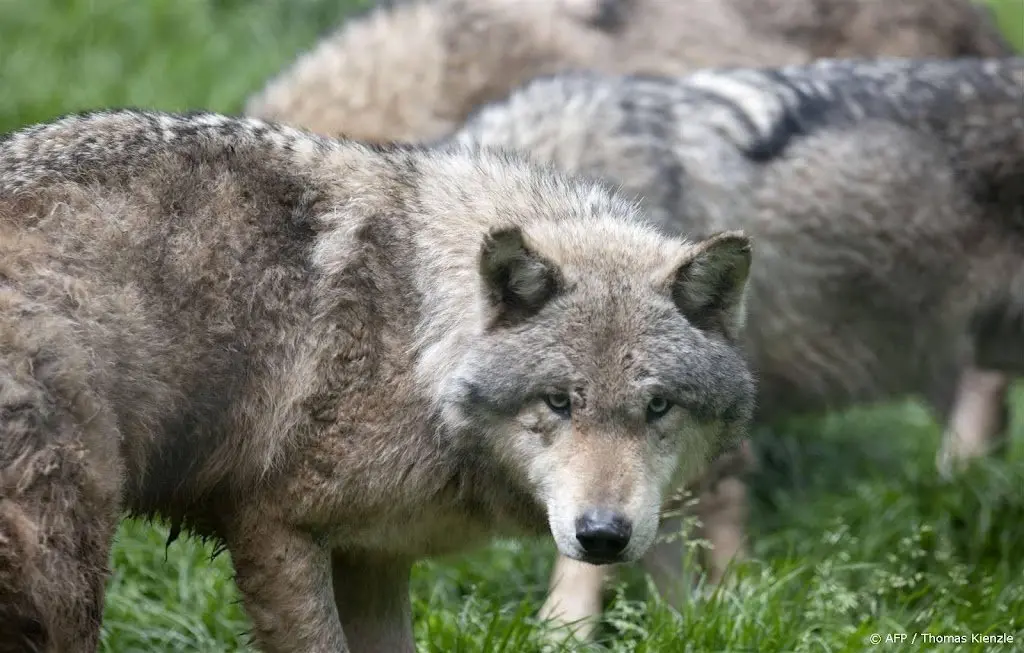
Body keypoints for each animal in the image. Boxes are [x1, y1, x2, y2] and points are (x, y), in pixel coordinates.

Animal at [0, 109, 757, 652]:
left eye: (658, 406)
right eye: (558, 402)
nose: (603, 535)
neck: (416, 334)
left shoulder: (372, 555)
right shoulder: (276, 528)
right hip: (65, 571)